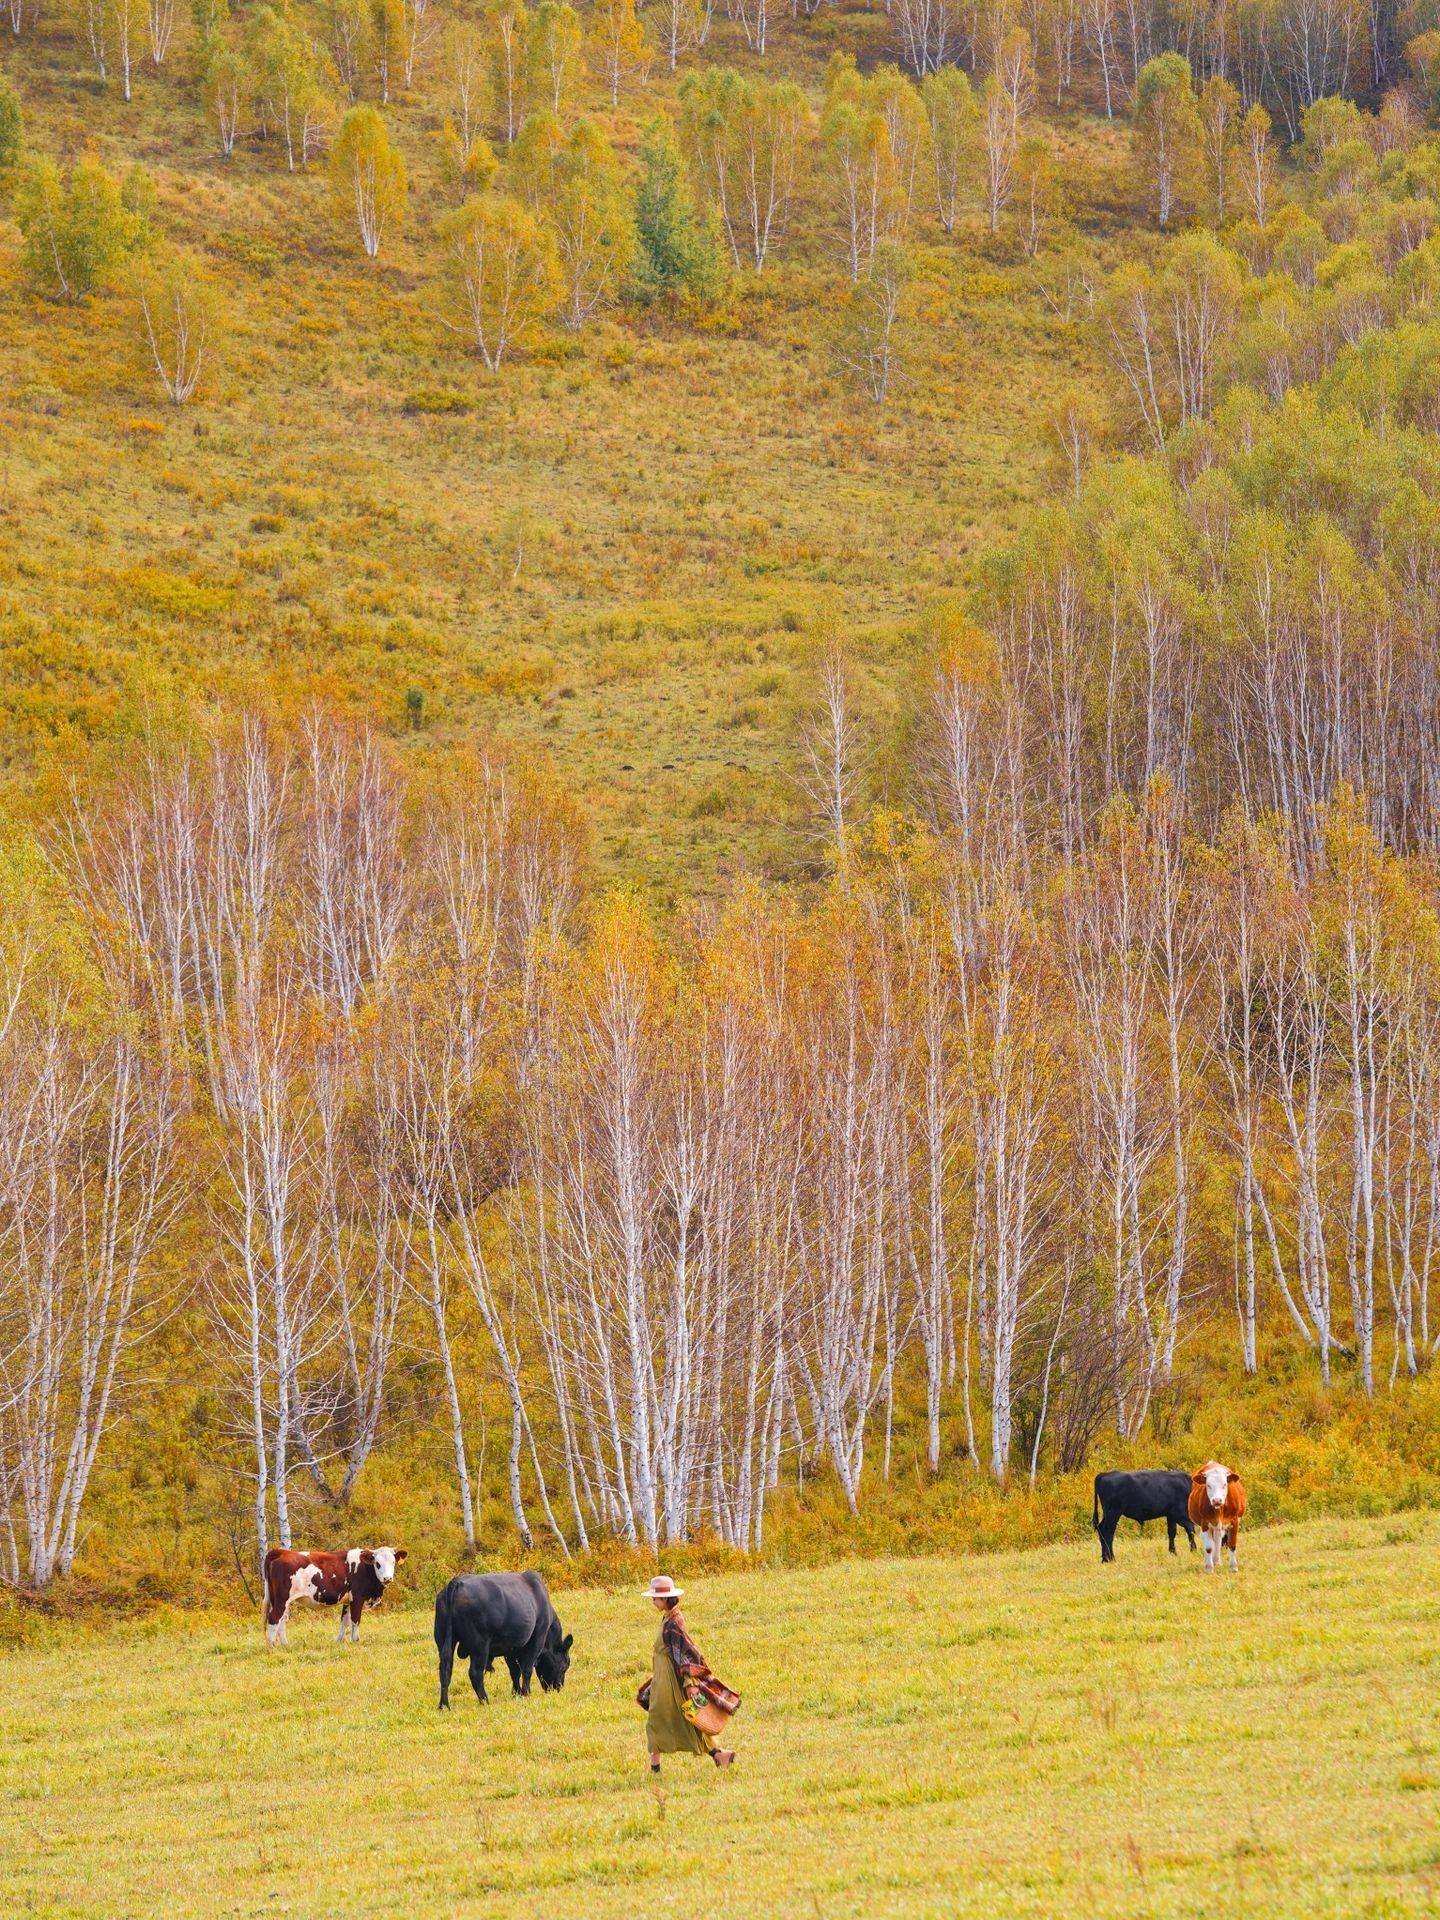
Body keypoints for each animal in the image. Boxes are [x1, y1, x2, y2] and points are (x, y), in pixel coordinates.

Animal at [259, 1543, 403, 1651]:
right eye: (377, 1563)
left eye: (393, 1562)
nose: (387, 1578)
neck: (365, 1568)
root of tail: (282, 1552)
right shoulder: (357, 1598)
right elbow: (355, 1620)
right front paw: (356, 1640)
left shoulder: (348, 1600)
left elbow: (344, 1621)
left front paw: (339, 1641)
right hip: (281, 1600)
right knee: (274, 1618)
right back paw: (271, 1647)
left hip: (280, 1600)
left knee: (281, 1620)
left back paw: (285, 1645)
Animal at [433, 1574, 576, 1712]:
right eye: (564, 1666)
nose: (558, 1687)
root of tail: (456, 1582)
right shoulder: (536, 1641)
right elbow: (526, 1669)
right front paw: (526, 1693)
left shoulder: (511, 1648)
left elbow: (514, 1671)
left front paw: (516, 1693)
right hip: (480, 1645)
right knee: (475, 1673)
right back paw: (485, 1701)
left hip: (443, 1639)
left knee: (445, 1671)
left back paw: (444, 1706)